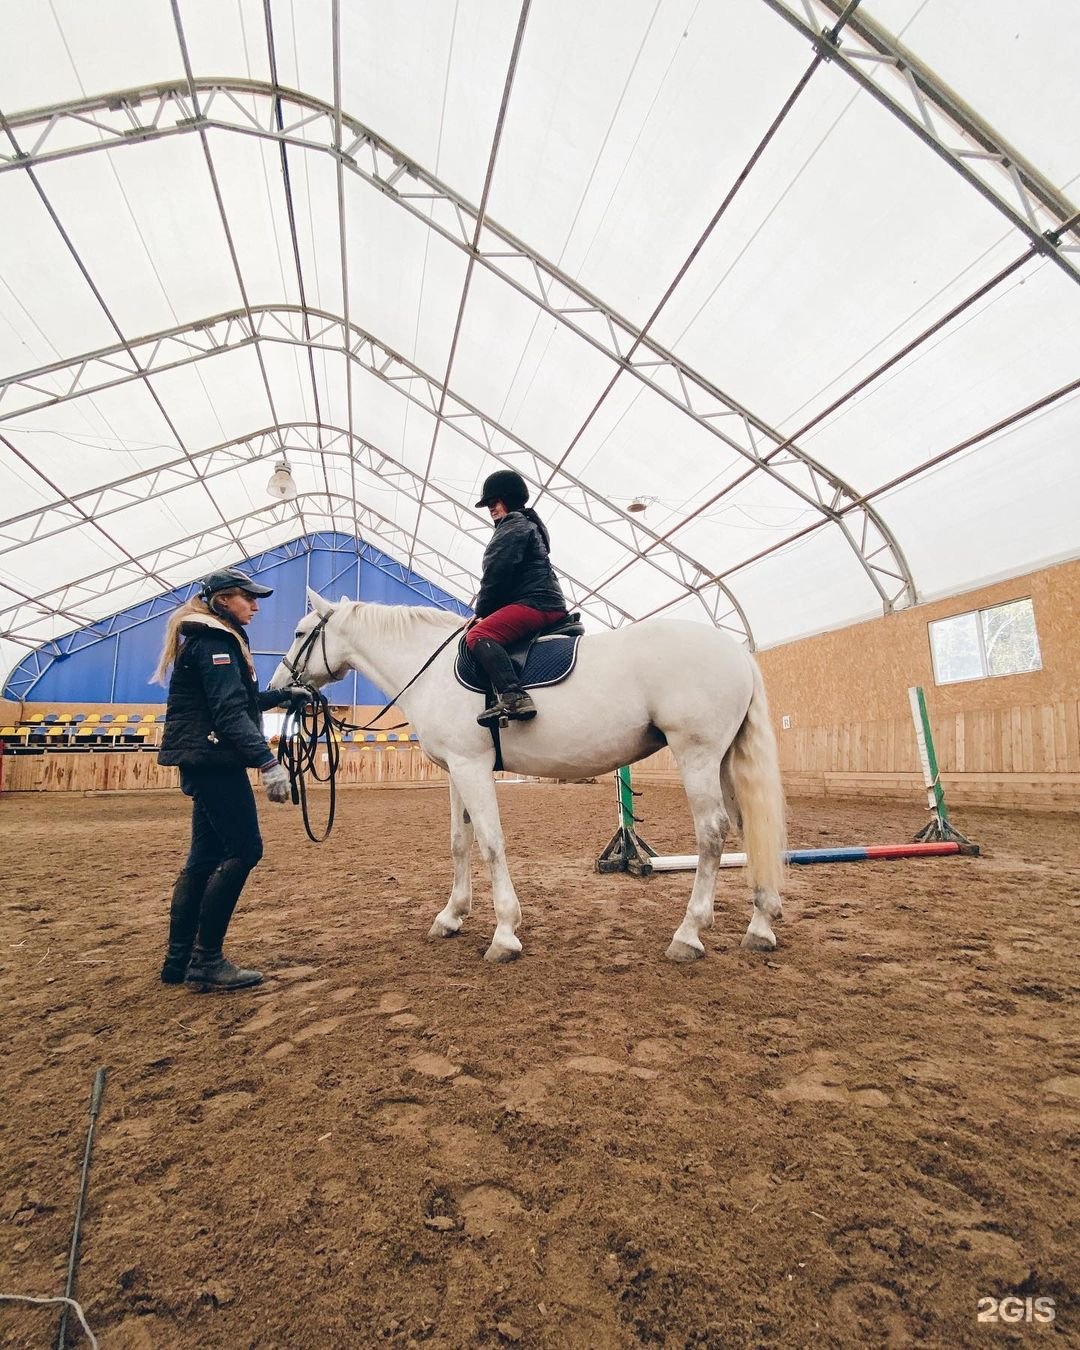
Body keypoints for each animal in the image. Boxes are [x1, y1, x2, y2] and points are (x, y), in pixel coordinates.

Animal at [274, 591, 788, 961]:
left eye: (299, 632)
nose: (280, 688)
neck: (431, 670)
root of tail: (735, 649)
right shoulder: (456, 771)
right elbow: (459, 843)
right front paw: (451, 916)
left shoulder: (472, 767)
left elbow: (490, 843)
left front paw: (504, 932)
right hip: (722, 762)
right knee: (746, 828)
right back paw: (760, 925)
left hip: (697, 756)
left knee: (712, 833)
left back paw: (689, 933)